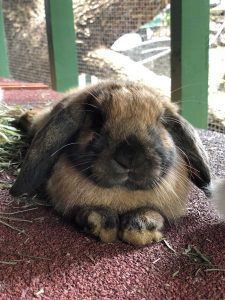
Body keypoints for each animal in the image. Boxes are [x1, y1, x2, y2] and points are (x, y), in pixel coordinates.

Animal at [9, 80, 225, 246]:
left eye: (162, 121)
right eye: (97, 119)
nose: (130, 156)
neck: (122, 192)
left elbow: (153, 213)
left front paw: (141, 228)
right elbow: (89, 212)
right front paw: (103, 225)